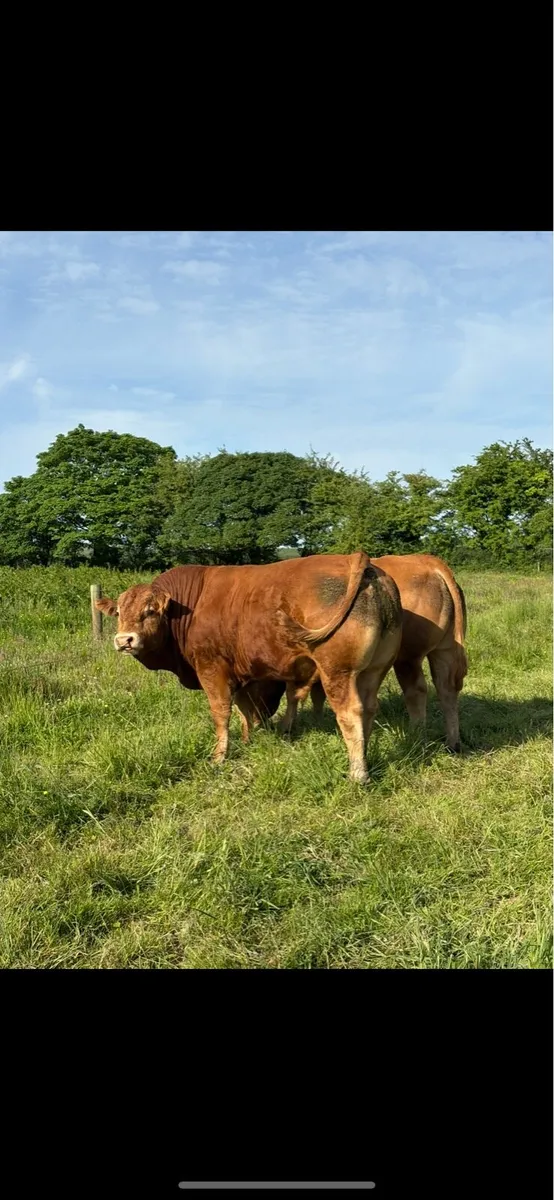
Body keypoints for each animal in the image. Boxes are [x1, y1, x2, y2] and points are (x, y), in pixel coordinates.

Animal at [95, 552, 402, 782]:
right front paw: (248, 740)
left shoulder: (212, 669)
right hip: (373, 671)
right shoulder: (243, 674)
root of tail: (357, 560)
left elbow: (221, 713)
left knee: (350, 713)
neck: (190, 606)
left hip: (337, 672)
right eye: (119, 612)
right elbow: (246, 709)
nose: (124, 640)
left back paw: (357, 773)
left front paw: (218, 757)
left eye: (150, 611)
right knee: (369, 709)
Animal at [285, 554, 468, 753]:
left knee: (416, 690)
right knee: (446, 688)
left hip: (408, 656)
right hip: (444, 649)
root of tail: (428, 561)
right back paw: (452, 743)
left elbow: (295, 692)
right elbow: (316, 694)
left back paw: (416, 738)